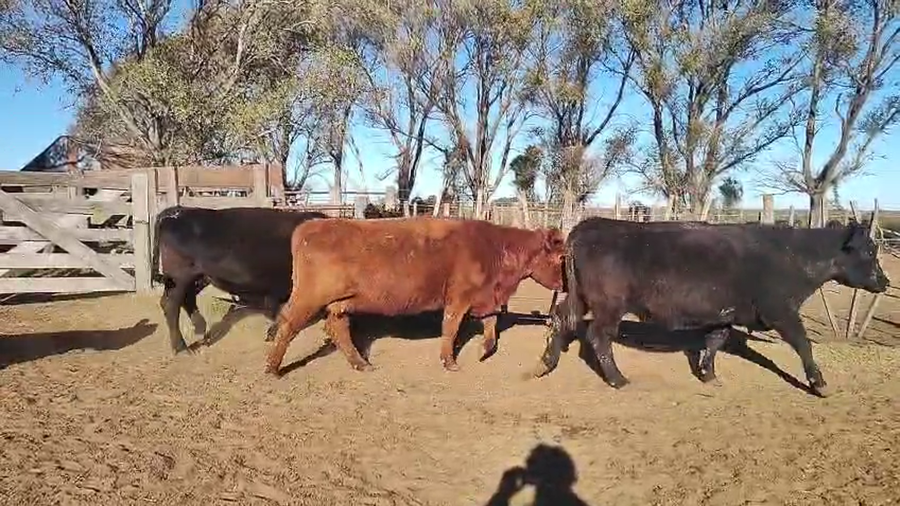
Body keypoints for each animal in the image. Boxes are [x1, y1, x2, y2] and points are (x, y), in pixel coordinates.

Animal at [150, 206, 330, 354]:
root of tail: (179, 210)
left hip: (199, 277)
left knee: (186, 299)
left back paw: (201, 330)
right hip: (179, 277)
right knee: (171, 305)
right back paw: (182, 348)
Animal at [264, 217, 566, 375]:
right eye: (561, 257)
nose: (565, 284)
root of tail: (311, 225)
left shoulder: (486, 298)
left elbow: (491, 325)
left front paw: (484, 351)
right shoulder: (458, 299)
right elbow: (450, 329)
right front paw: (449, 362)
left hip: (338, 304)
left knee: (338, 329)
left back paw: (362, 364)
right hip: (308, 298)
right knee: (288, 325)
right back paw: (272, 368)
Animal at [531, 217, 890, 397]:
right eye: (870, 251)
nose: (885, 281)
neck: (793, 256)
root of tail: (590, 224)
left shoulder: (725, 313)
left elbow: (715, 341)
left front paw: (708, 374)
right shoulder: (781, 311)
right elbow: (804, 343)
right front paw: (819, 384)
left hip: (579, 297)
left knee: (562, 320)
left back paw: (545, 364)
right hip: (609, 305)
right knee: (598, 336)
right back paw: (617, 379)